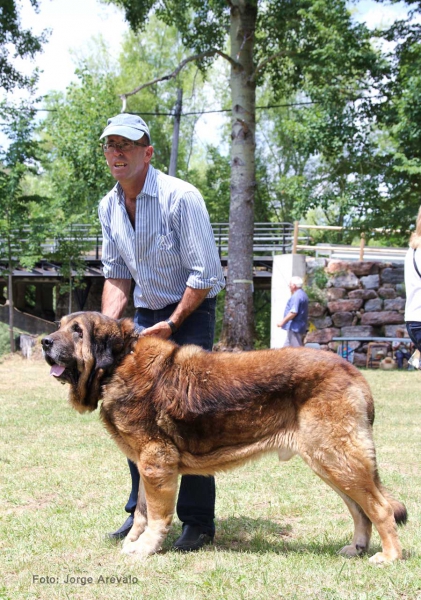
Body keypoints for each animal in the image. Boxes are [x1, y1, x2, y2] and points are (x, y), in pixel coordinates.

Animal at [41, 312, 406, 564]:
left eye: (77, 331)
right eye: (60, 325)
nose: (45, 342)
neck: (118, 362)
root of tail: (353, 371)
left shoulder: (156, 462)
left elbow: (156, 516)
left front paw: (145, 549)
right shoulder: (145, 465)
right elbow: (142, 513)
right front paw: (133, 542)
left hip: (338, 458)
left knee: (381, 508)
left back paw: (389, 557)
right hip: (329, 463)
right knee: (360, 510)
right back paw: (357, 547)